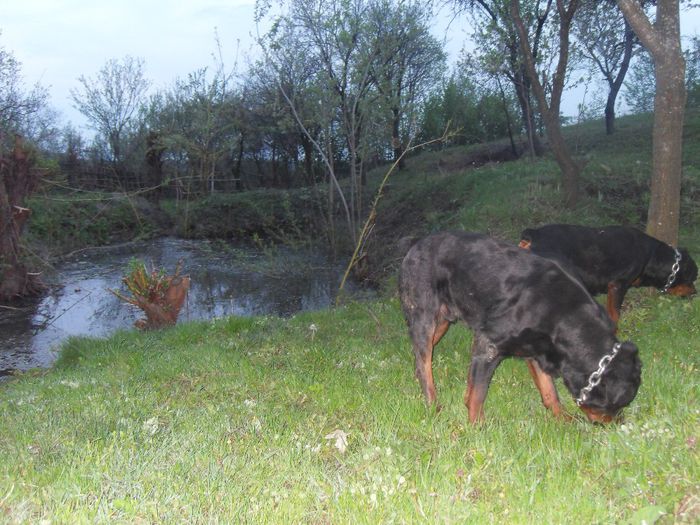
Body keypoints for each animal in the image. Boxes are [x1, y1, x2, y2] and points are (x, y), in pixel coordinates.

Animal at [396, 231, 644, 424]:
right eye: (615, 405)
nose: (617, 423)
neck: (563, 316)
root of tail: (416, 243)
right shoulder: (488, 346)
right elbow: (477, 394)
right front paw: (476, 427)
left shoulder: (538, 351)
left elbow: (549, 391)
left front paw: (563, 419)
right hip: (425, 318)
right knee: (424, 364)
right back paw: (433, 405)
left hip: (442, 322)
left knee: (419, 358)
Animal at [516, 224, 696, 324]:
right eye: (693, 278)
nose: (695, 293)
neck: (652, 256)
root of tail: (534, 234)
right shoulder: (618, 285)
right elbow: (615, 314)